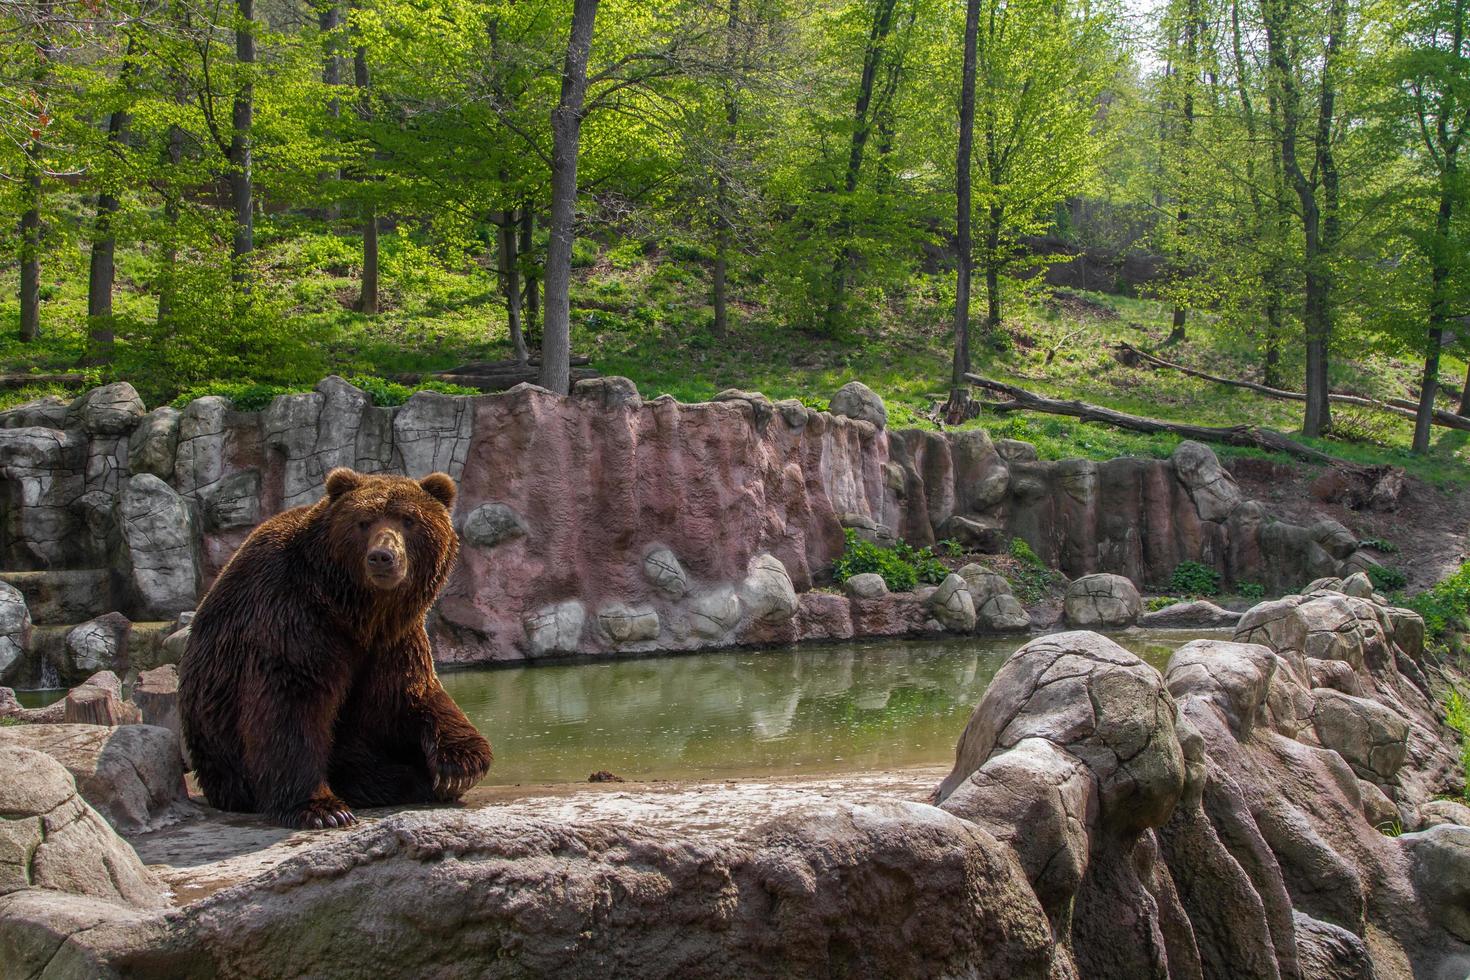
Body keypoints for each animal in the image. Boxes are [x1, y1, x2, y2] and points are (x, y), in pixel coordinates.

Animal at [180, 467, 490, 828]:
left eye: (408, 520)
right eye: (363, 521)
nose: (382, 557)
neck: (355, 610)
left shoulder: (394, 638)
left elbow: (408, 691)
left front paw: (459, 767)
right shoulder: (292, 617)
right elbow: (291, 704)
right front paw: (322, 809)